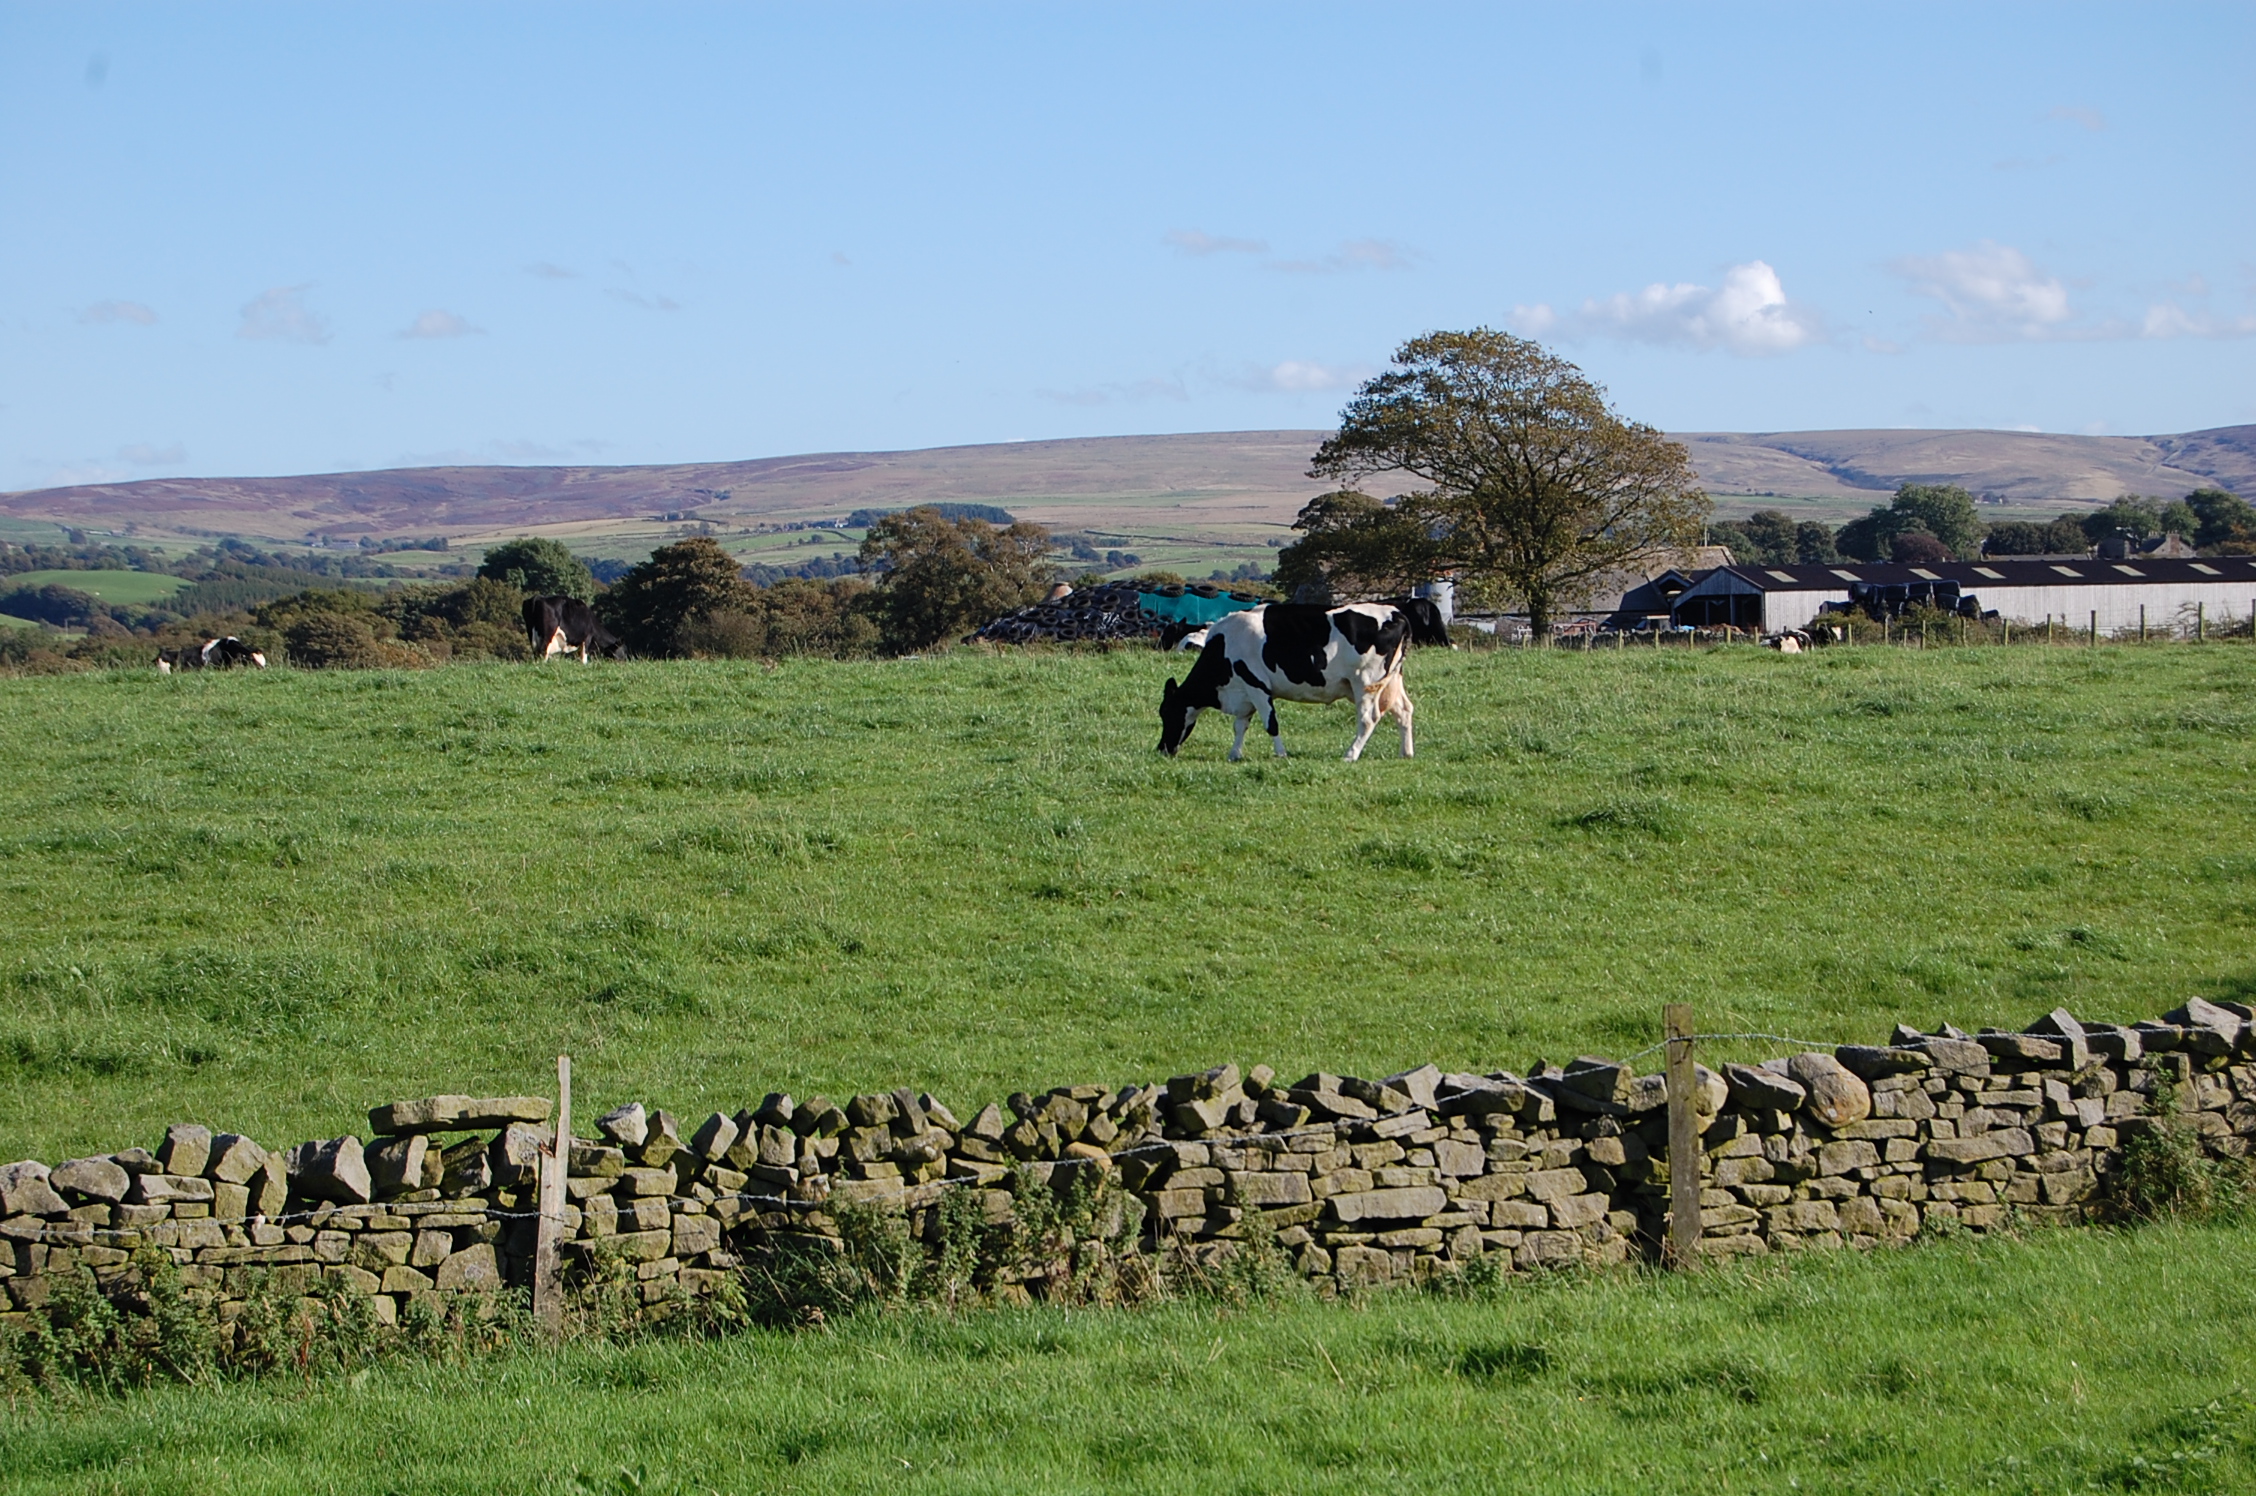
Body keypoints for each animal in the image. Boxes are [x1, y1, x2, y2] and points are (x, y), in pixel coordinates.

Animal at [1155, 604, 1416, 762]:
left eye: (1167, 712)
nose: (1162, 749)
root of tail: (1396, 613)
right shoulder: (1245, 691)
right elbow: (1240, 725)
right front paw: (1235, 754)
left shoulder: (1257, 684)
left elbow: (1271, 723)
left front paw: (1281, 754)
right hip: (1392, 681)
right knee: (1404, 710)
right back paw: (1406, 752)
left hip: (1365, 681)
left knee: (1368, 719)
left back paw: (1350, 755)